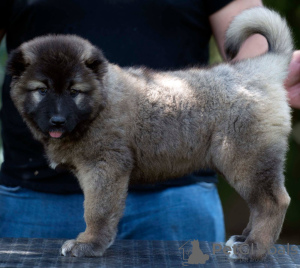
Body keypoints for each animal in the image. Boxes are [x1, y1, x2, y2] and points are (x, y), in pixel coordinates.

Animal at [6, 6, 292, 260]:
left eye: (74, 91)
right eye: (42, 90)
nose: (57, 120)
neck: (100, 102)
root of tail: (260, 70)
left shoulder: (103, 166)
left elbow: (96, 210)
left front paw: (88, 243)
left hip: (245, 158)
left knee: (272, 202)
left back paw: (253, 248)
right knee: (258, 205)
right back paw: (244, 239)